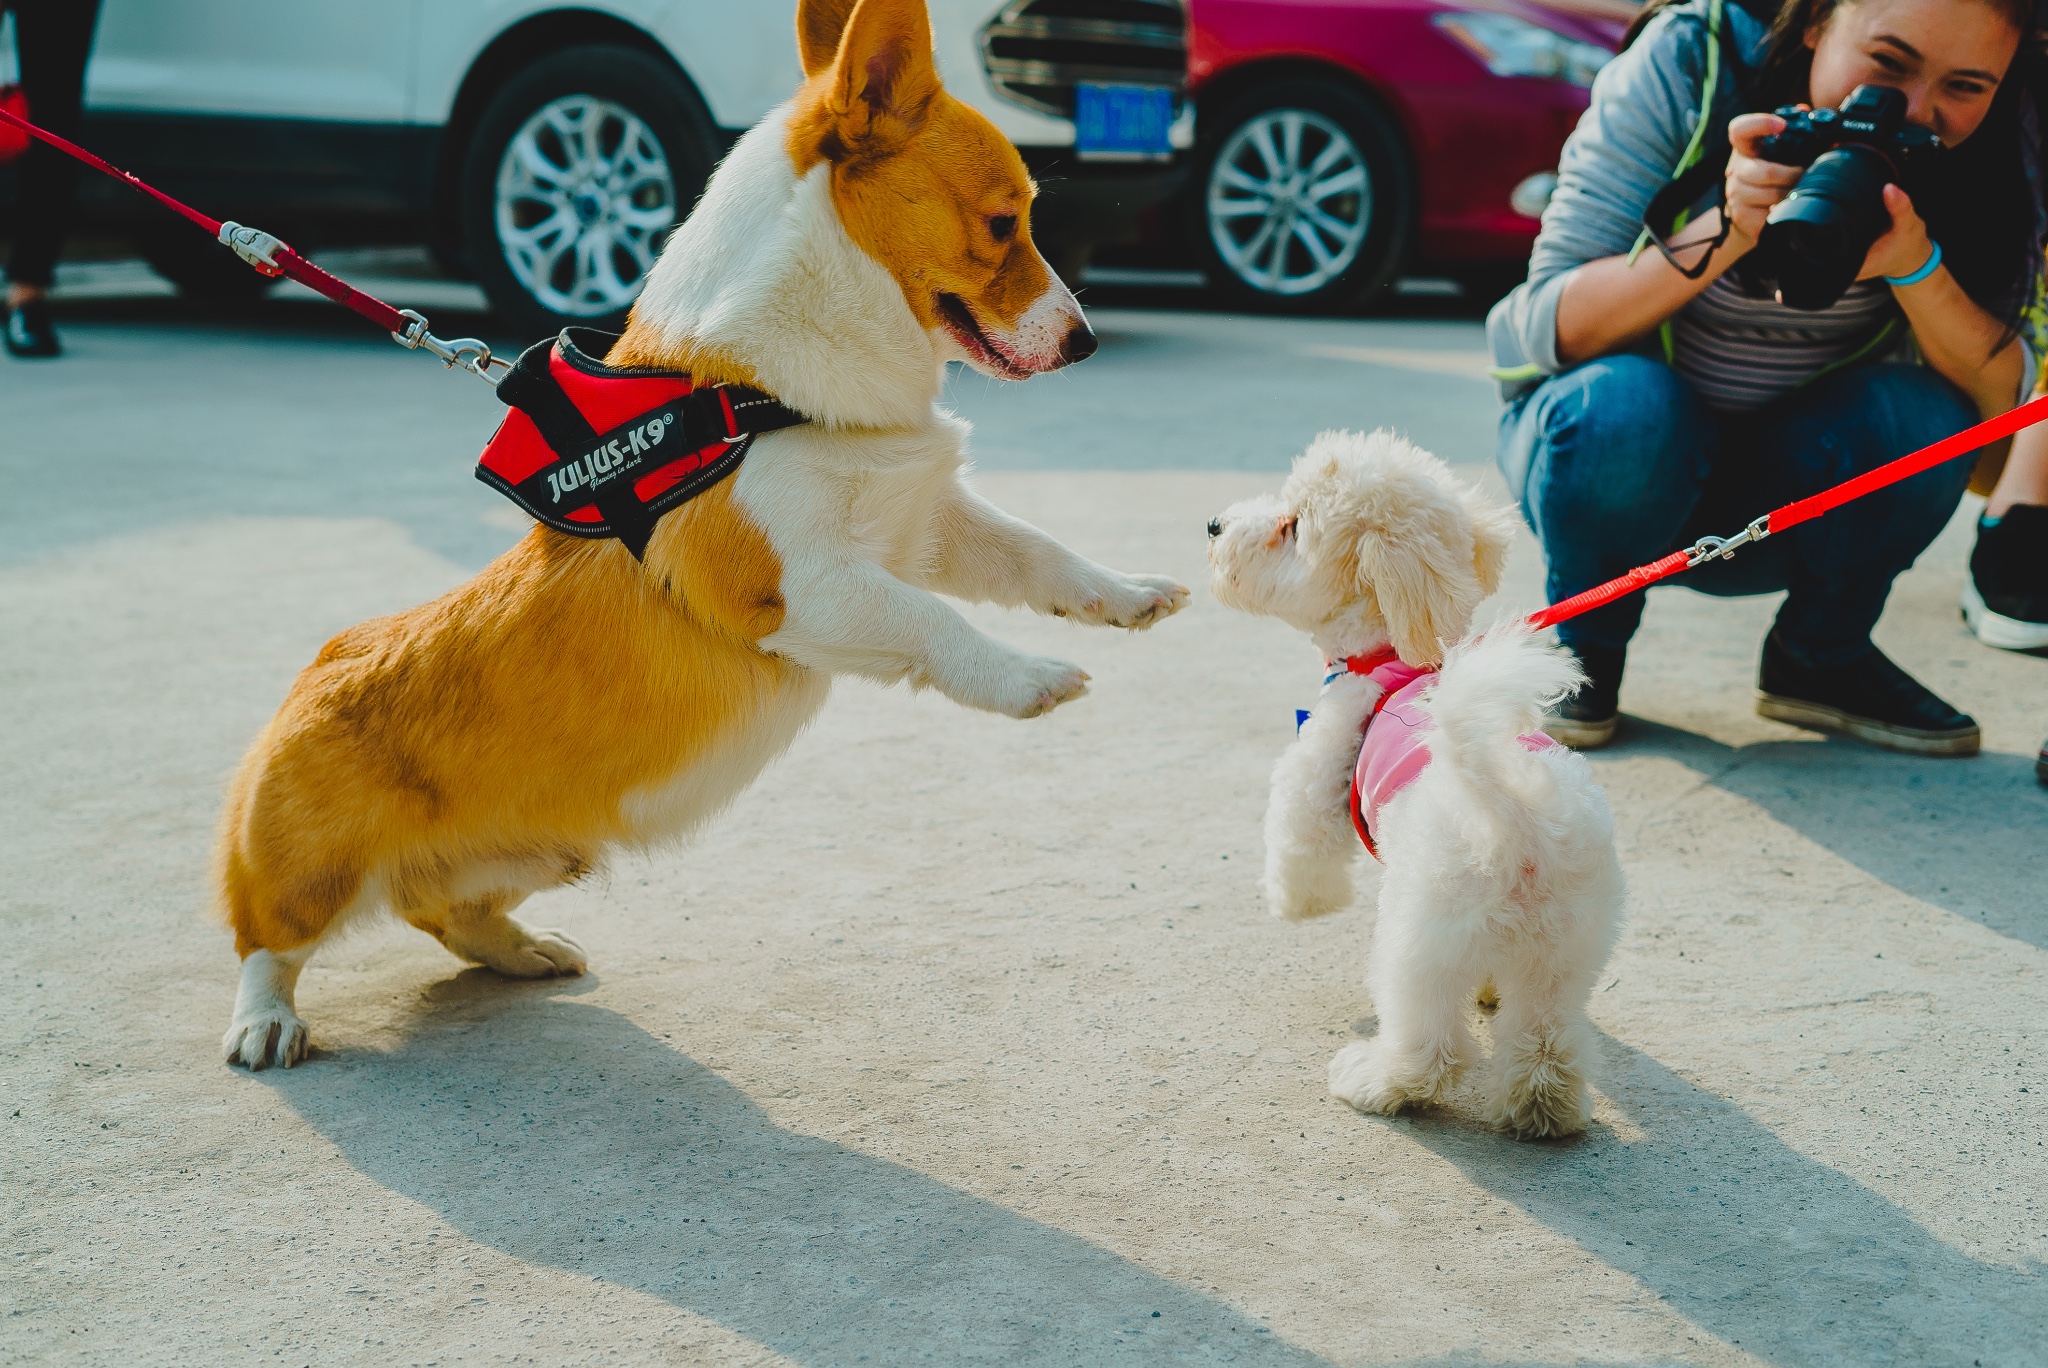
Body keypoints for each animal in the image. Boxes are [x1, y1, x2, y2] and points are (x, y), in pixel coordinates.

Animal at [211, 0, 1187, 1064]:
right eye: (1004, 222)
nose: (1086, 342)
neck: (763, 388)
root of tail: (312, 673)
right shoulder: (802, 586)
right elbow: (934, 624)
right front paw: (1028, 679)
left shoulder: (924, 523)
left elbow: (1037, 554)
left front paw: (1132, 597)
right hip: (310, 870)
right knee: (267, 938)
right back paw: (267, 1022)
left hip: (539, 856)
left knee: (444, 912)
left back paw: (523, 951)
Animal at [1204, 432, 1622, 1138]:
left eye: (1293, 527)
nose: (1213, 524)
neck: (1389, 657)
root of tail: (1517, 820)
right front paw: (1489, 992)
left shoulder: (1318, 765)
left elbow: (1299, 844)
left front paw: (1294, 903)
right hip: (1566, 949)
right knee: (1545, 1040)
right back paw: (1544, 1109)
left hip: (1418, 933)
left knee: (1432, 1047)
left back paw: (1376, 1081)